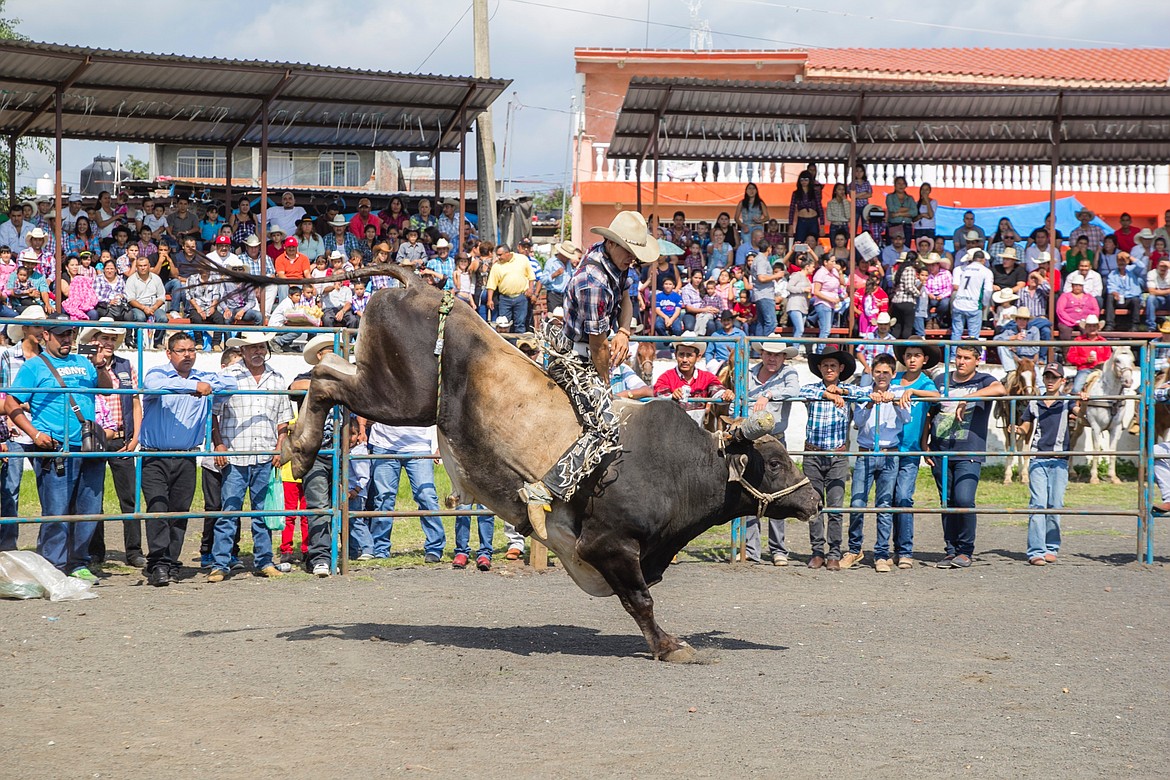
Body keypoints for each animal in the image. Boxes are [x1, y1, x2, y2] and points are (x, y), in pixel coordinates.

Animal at [212, 265, 814, 664]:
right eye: (774, 462)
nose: (813, 498)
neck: (677, 466)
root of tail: (424, 286)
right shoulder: (608, 544)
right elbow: (640, 599)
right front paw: (671, 647)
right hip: (402, 397)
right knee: (322, 380)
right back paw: (300, 447)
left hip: (387, 384)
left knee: (324, 367)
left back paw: (299, 441)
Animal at [1071, 350, 1137, 484]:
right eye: (1117, 360)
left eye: (1132, 360)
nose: (1128, 381)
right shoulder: (1096, 427)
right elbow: (1096, 450)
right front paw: (1094, 478)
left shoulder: (1116, 428)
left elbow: (1112, 450)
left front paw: (1113, 477)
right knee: (1071, 444)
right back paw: (1071, 471)